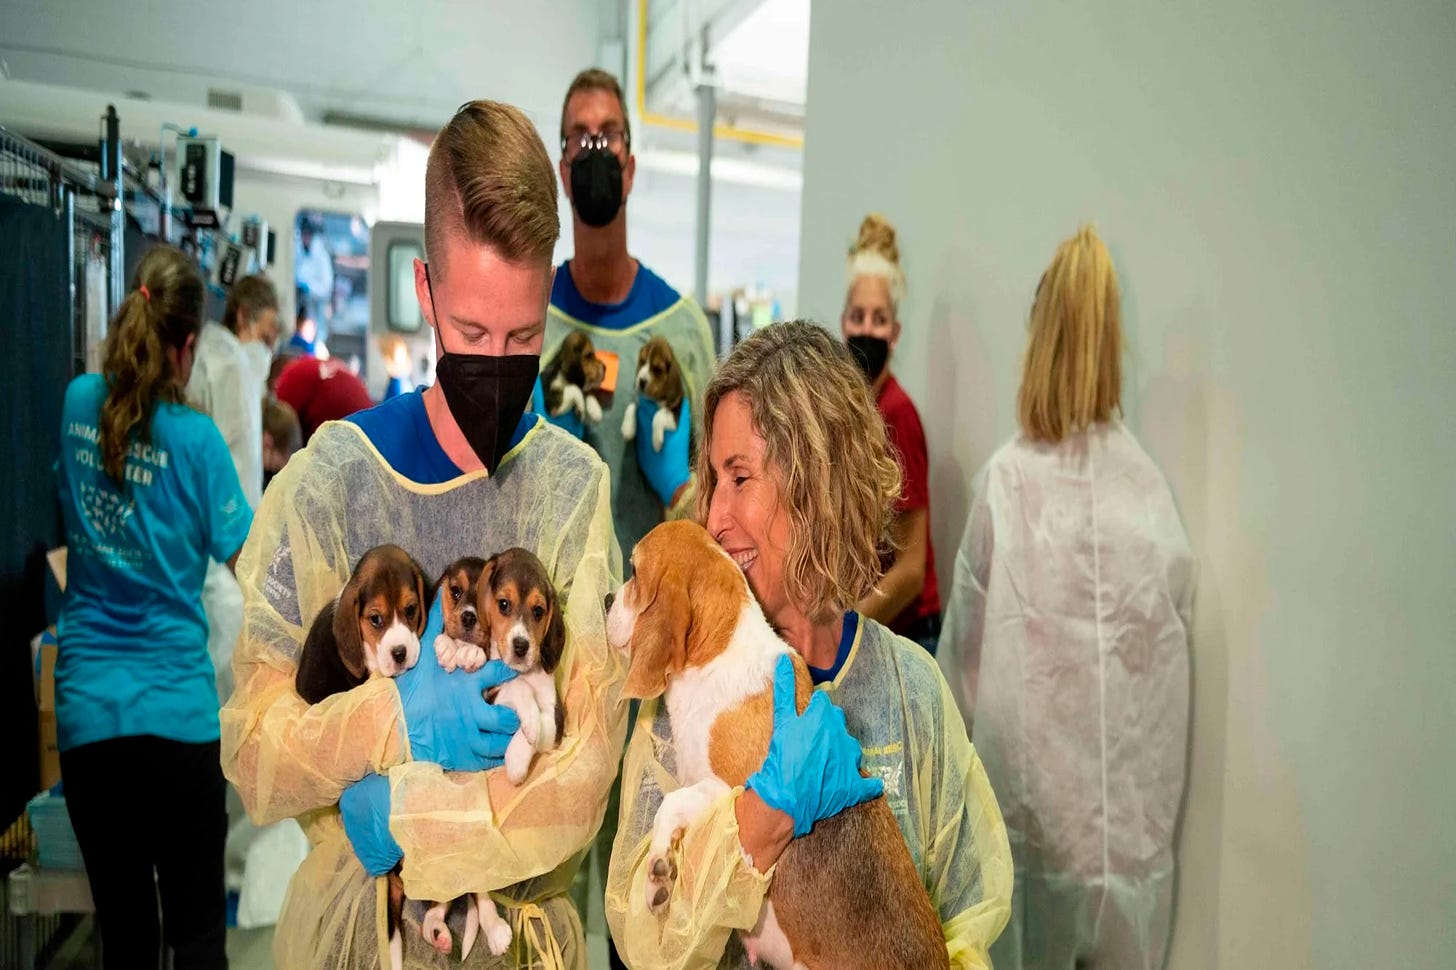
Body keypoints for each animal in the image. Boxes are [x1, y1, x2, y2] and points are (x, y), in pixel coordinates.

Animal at [599, 521, 943, 967]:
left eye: (635, 571)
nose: (606, 600)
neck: (716, 657)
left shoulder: (730, 787)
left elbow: (670, 803)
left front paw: (659, 872)